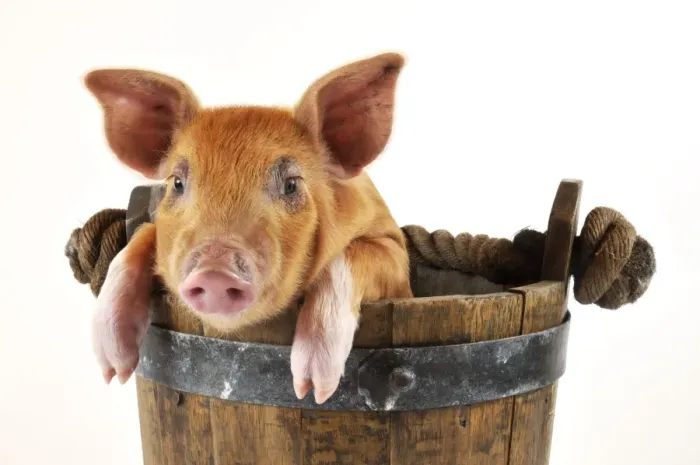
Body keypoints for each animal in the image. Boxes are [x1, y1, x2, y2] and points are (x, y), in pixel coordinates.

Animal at [85, 53, 413, 404]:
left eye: (291, 185)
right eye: (176, 182)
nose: (215, 269)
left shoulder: (395, 252)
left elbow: (349, 255)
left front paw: (313, 390)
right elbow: (142, 236)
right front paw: (111, 370)